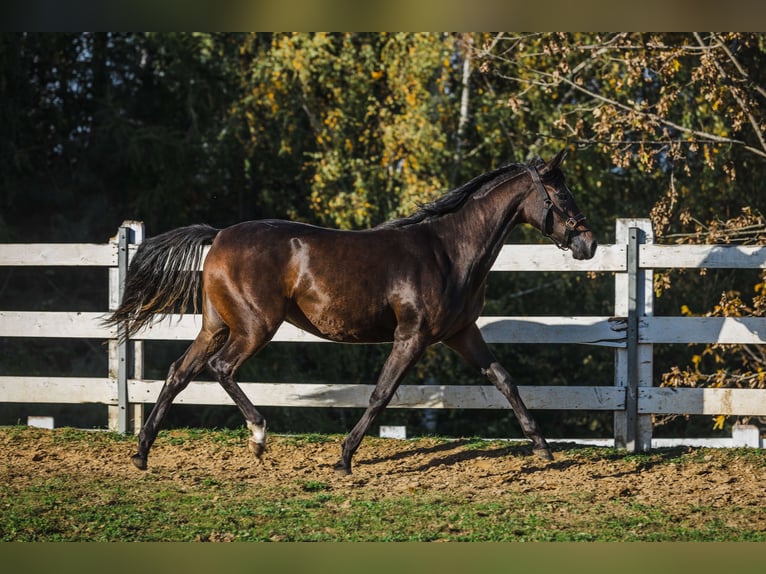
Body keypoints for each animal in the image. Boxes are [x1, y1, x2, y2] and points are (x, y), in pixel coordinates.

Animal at [105, 150, 600, 476]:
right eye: (561, 194)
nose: (588, 243)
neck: (448, 251)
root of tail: (220, 234)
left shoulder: (462, 334)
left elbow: (504, 380)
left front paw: (543, 448)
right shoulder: (412, 336)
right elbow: (381, 394)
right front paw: (344, 458)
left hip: (215, 325)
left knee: (178, 373)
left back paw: (143, 452)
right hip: (253, 327)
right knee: (220, 368)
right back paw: (259, 436)